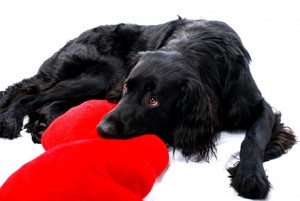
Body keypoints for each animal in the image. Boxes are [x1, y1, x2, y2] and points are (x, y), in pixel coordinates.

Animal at [0, 17, 296, 199]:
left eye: (153, 100)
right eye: (127, 88)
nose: (102, 129)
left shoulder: (258, 104)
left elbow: (255, 136)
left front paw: (250, 174)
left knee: (44, 99)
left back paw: (40, 123)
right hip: (101, 76)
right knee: (29, 93)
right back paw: (11, 120)